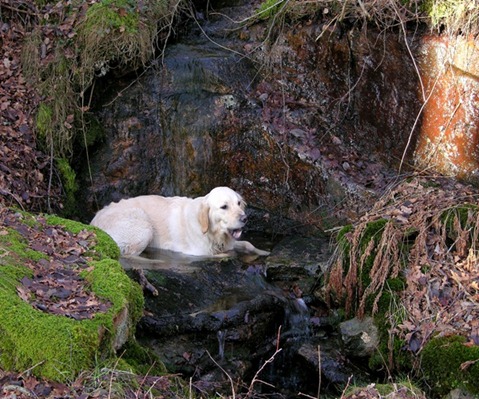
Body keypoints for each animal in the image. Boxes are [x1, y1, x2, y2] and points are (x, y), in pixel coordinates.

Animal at [90, 187, 270, 258]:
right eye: (224, 207)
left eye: (238, 203)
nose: (245, 218)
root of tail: (93, 221)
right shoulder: (198, 252)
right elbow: (222, 254)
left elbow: (247, 244)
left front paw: (264, 252)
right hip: (143, 225)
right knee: (129, 255)